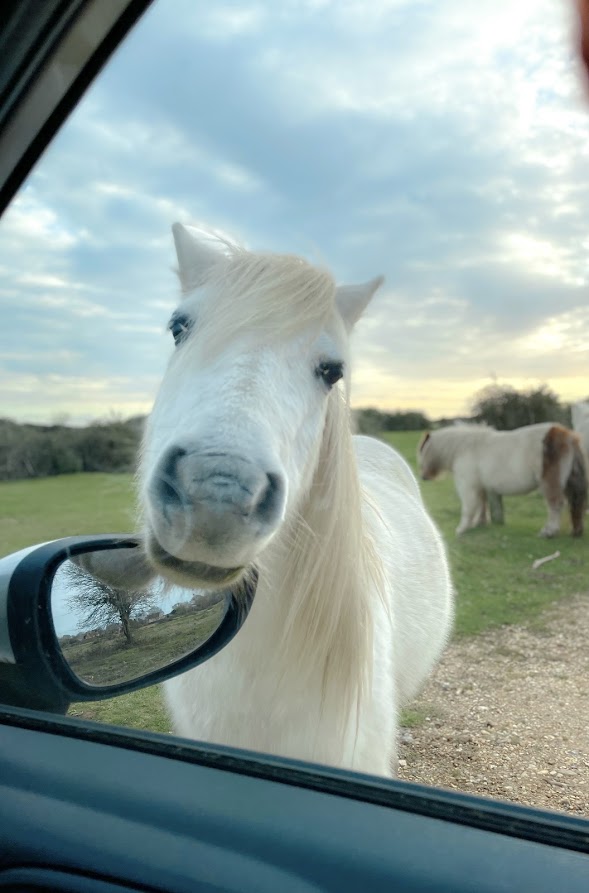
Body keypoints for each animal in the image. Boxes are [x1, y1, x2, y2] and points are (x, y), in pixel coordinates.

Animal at [416, 420, 584, 536]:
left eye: (422, 452)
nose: (423, 477)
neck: (464, 448)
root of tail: (567, 435)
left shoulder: (467, 486)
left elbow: (469, 507)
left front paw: (462, 529)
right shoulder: (480, 486)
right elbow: (482, 504)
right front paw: (480, 523)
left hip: (550, 482)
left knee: (556, 504)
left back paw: (549, 531)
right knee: (574, 504)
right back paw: (575, 531)